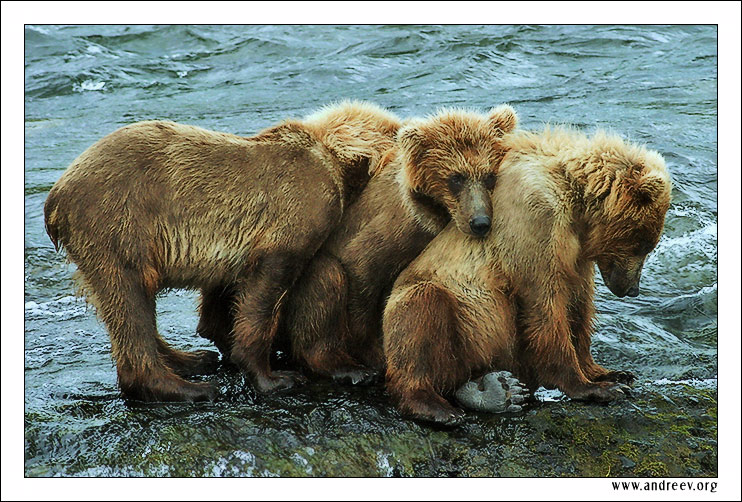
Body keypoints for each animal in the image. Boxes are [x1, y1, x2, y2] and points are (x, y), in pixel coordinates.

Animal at [43, 100, 404, 402]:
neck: (336, 162)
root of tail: (56, 196)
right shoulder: (301, 207)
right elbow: (269, 280)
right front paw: (276, 376)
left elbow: (223, 293)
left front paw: (223, 340)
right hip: (118, 220)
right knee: (129, 298)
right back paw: (186, 387)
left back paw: (190, 359)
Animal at [278, 104, 516, 382]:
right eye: (456, 178)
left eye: (489, 176)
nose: (480, 222)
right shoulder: (388, 231)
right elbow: (361, 273)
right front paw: (373, 353)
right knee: (325, 279)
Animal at [384, 127, 676, 426]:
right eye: (642, 244)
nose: (632, 289)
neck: (576, 207)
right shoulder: (535, 222)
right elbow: (545, 304)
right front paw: (594, 388)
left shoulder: (576, 256)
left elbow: (579, 308)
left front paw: (611, 373)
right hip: (453, 313)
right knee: (421, 313)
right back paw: (438, 406)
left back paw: (495, 390)